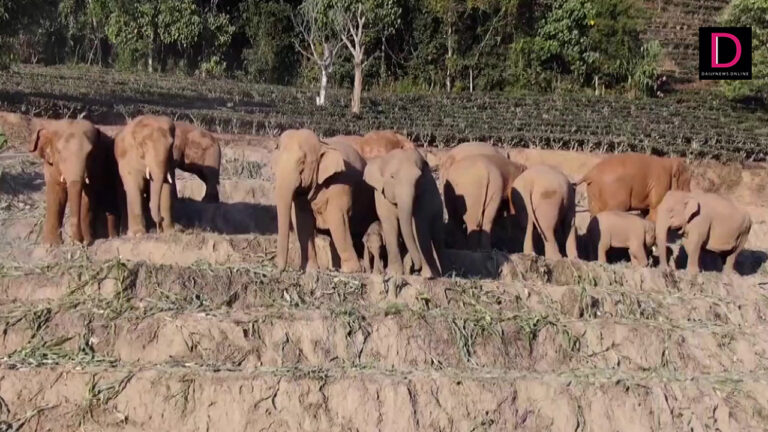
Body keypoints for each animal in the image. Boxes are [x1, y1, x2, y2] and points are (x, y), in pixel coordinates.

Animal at [274, 129, 376, 273]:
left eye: (302, 162)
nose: (278, 268)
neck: (322, 144)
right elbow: (303, 221)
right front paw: (309, 269)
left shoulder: (340, 183)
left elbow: (338, 219)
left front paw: (351, 270)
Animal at [363, 148, 444, 278]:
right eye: (392, 177)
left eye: (418, 178)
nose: (417, 268)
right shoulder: (381, 195)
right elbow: (390, 224)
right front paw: (394, 273)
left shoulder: (423, 195)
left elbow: (418, 227)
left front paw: (428, 275)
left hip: (438, 212)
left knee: (437, 238)